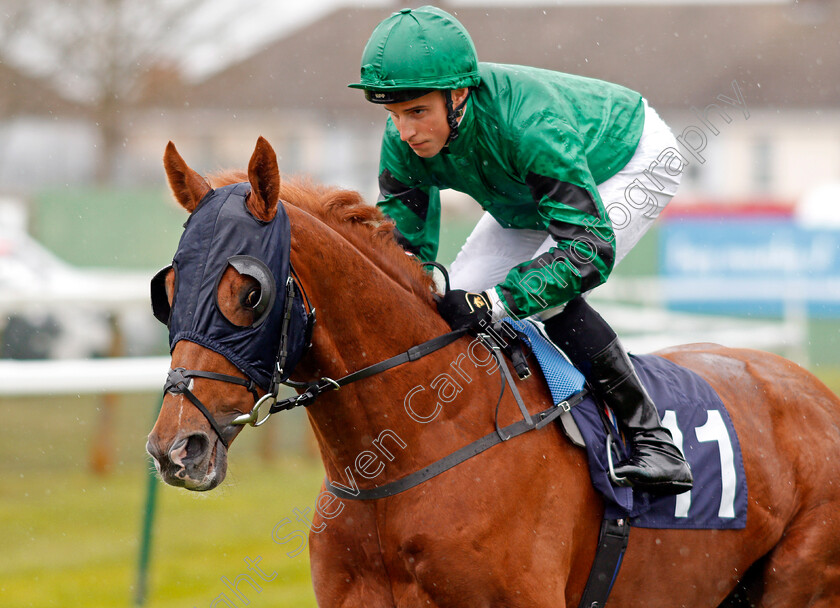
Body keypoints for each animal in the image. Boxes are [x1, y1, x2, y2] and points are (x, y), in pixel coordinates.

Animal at [148, 138, 840, 608]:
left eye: (250, 294)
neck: (408, 450)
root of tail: (814, 390)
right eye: (168, 291)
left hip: (799, 582)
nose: (177, 448)